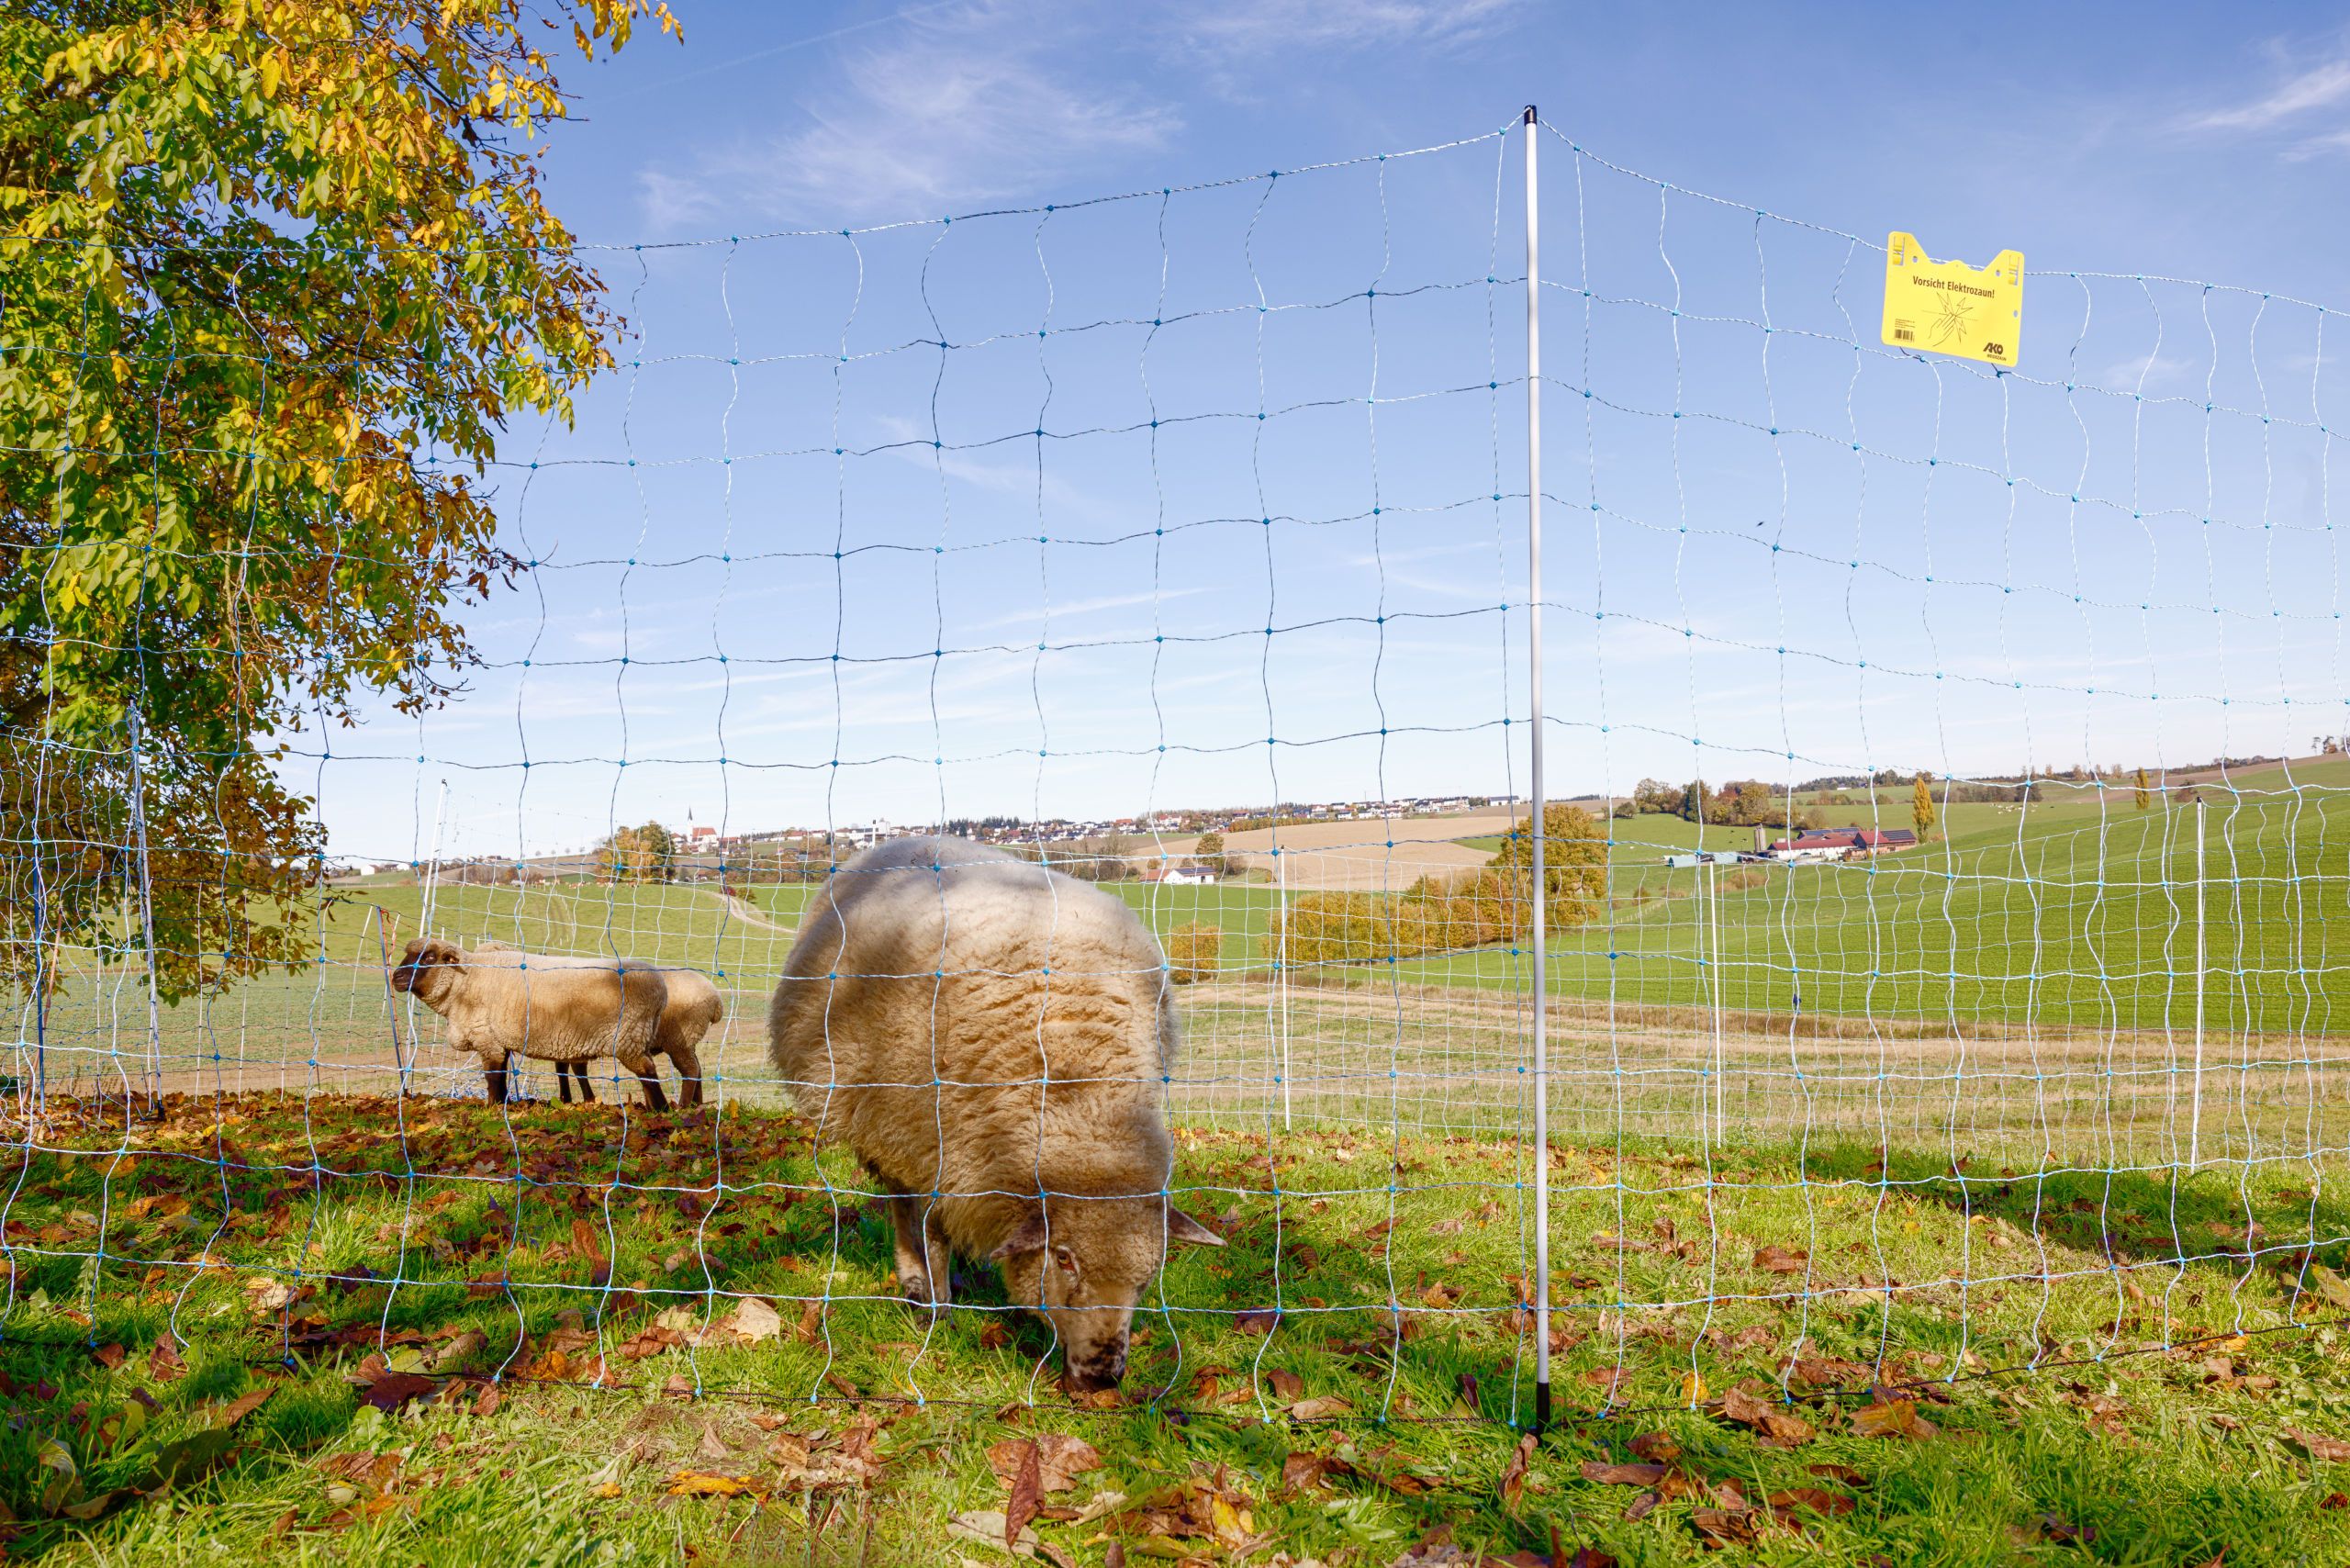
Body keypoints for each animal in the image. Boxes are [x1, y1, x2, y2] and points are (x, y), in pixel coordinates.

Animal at [390, 937, 671, 1108]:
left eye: (429, 957)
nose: (396, 978)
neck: (464, 982)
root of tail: (661, 989)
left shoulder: (485, 1037)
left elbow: (492, 1075)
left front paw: (492, 1106)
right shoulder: (497, 1039)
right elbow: (501, 1073)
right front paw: (503, 1103)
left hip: (629, 1038)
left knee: (648, 1072)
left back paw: (660, 1111)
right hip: (634, 1038)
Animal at [472, 941, 723, 1108]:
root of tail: (715, 999)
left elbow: (571, 1068)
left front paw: (576, 1099)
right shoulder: (568, 1035)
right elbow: (568, 1068)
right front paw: (576, 1099)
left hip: (679, 1038)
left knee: (690, 1070)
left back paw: (683, 1105)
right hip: (684, 1041)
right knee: (696, 1068)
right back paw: (696, 1104)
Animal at [767, 835, 1222, 1393]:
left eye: (1150, 1272)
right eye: (1063, 1258)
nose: (1100, 1378)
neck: (1078, 1089)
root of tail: (907, 838)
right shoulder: (926, 1140)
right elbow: (929, 1231)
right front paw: (936, 1307)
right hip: (881, 1116)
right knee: (902, 1207)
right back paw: (919, 1283)